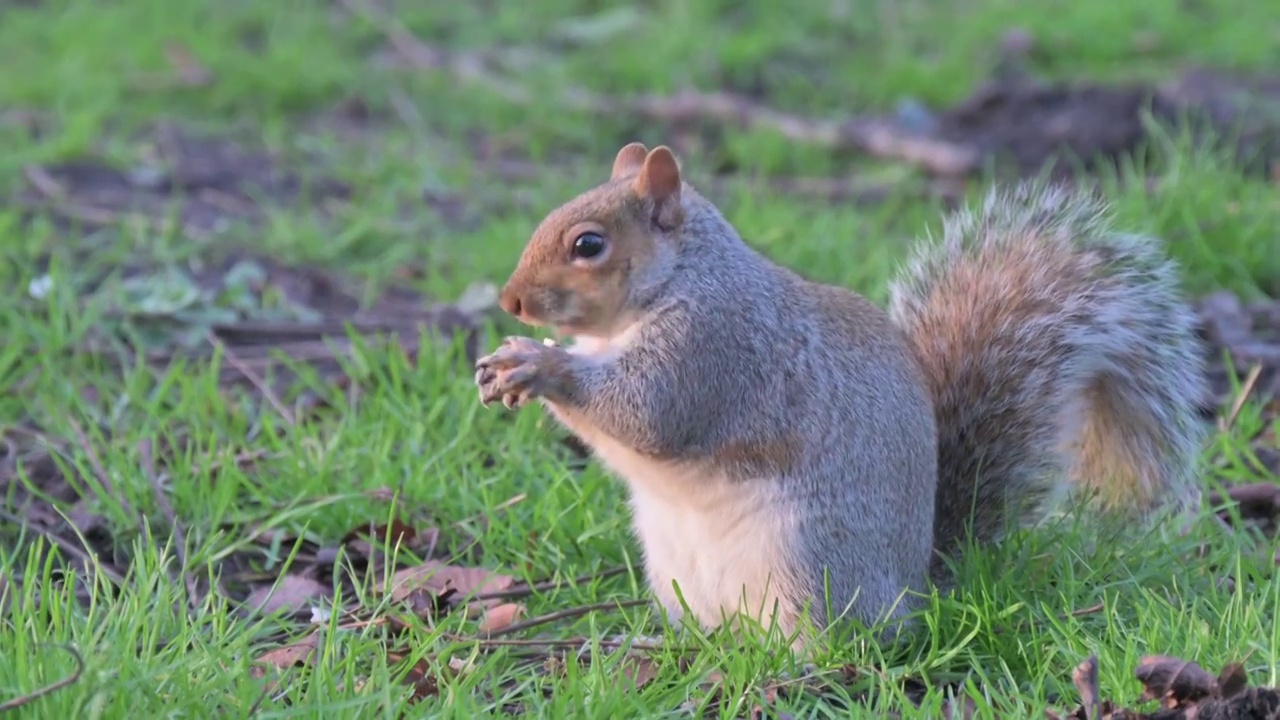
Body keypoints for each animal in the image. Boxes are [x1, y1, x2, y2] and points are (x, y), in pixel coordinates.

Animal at [473, 141, 1208, 645]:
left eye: (588, 245)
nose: (510, 300)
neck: (676, 280)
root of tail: (913, 590)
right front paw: (509, 364)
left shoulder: (712, 348)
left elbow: (646, 414)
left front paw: (538, 364)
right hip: (677, 572)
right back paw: (669, 641)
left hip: (806, 560)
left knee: (832, 641)